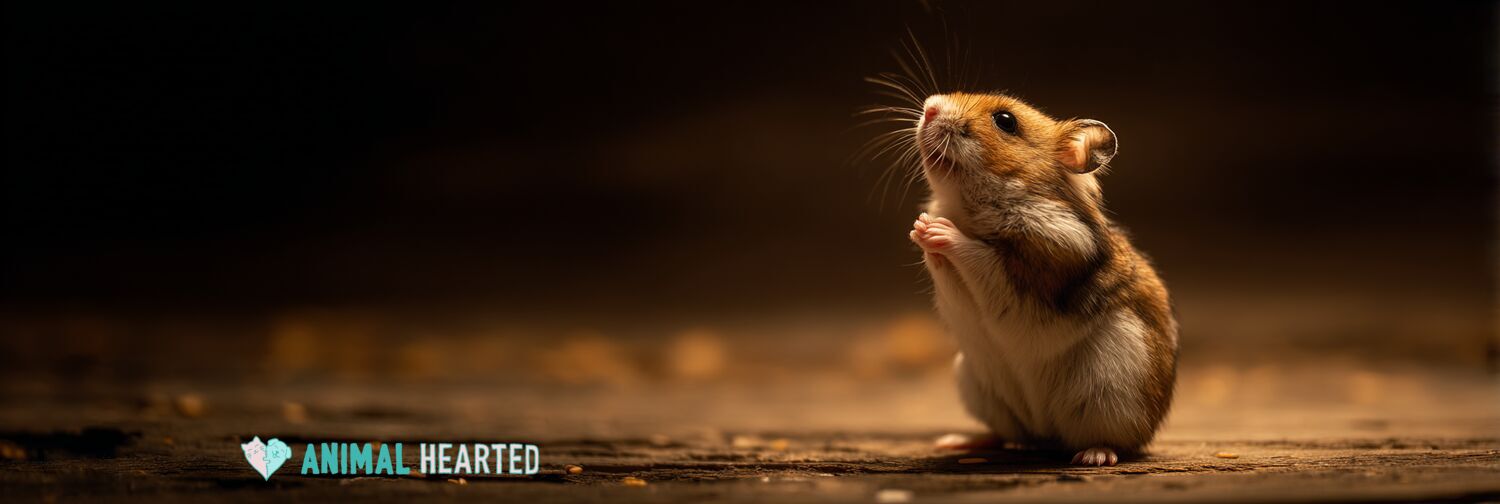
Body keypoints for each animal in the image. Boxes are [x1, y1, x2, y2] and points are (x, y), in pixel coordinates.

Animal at [906, 92, 1178, 466]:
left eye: (1006, 121)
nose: (930, 107)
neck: (972, 211)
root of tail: (1046, 434)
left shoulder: (1029, 280)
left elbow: (980, 257)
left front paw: (937, 229)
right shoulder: (957, 294)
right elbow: (947, 272)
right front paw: (920, 226)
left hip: (1114, 393)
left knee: (1113, 442)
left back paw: (1094, 456)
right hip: (977, 384)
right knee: (1005, 435)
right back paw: (956, 441)